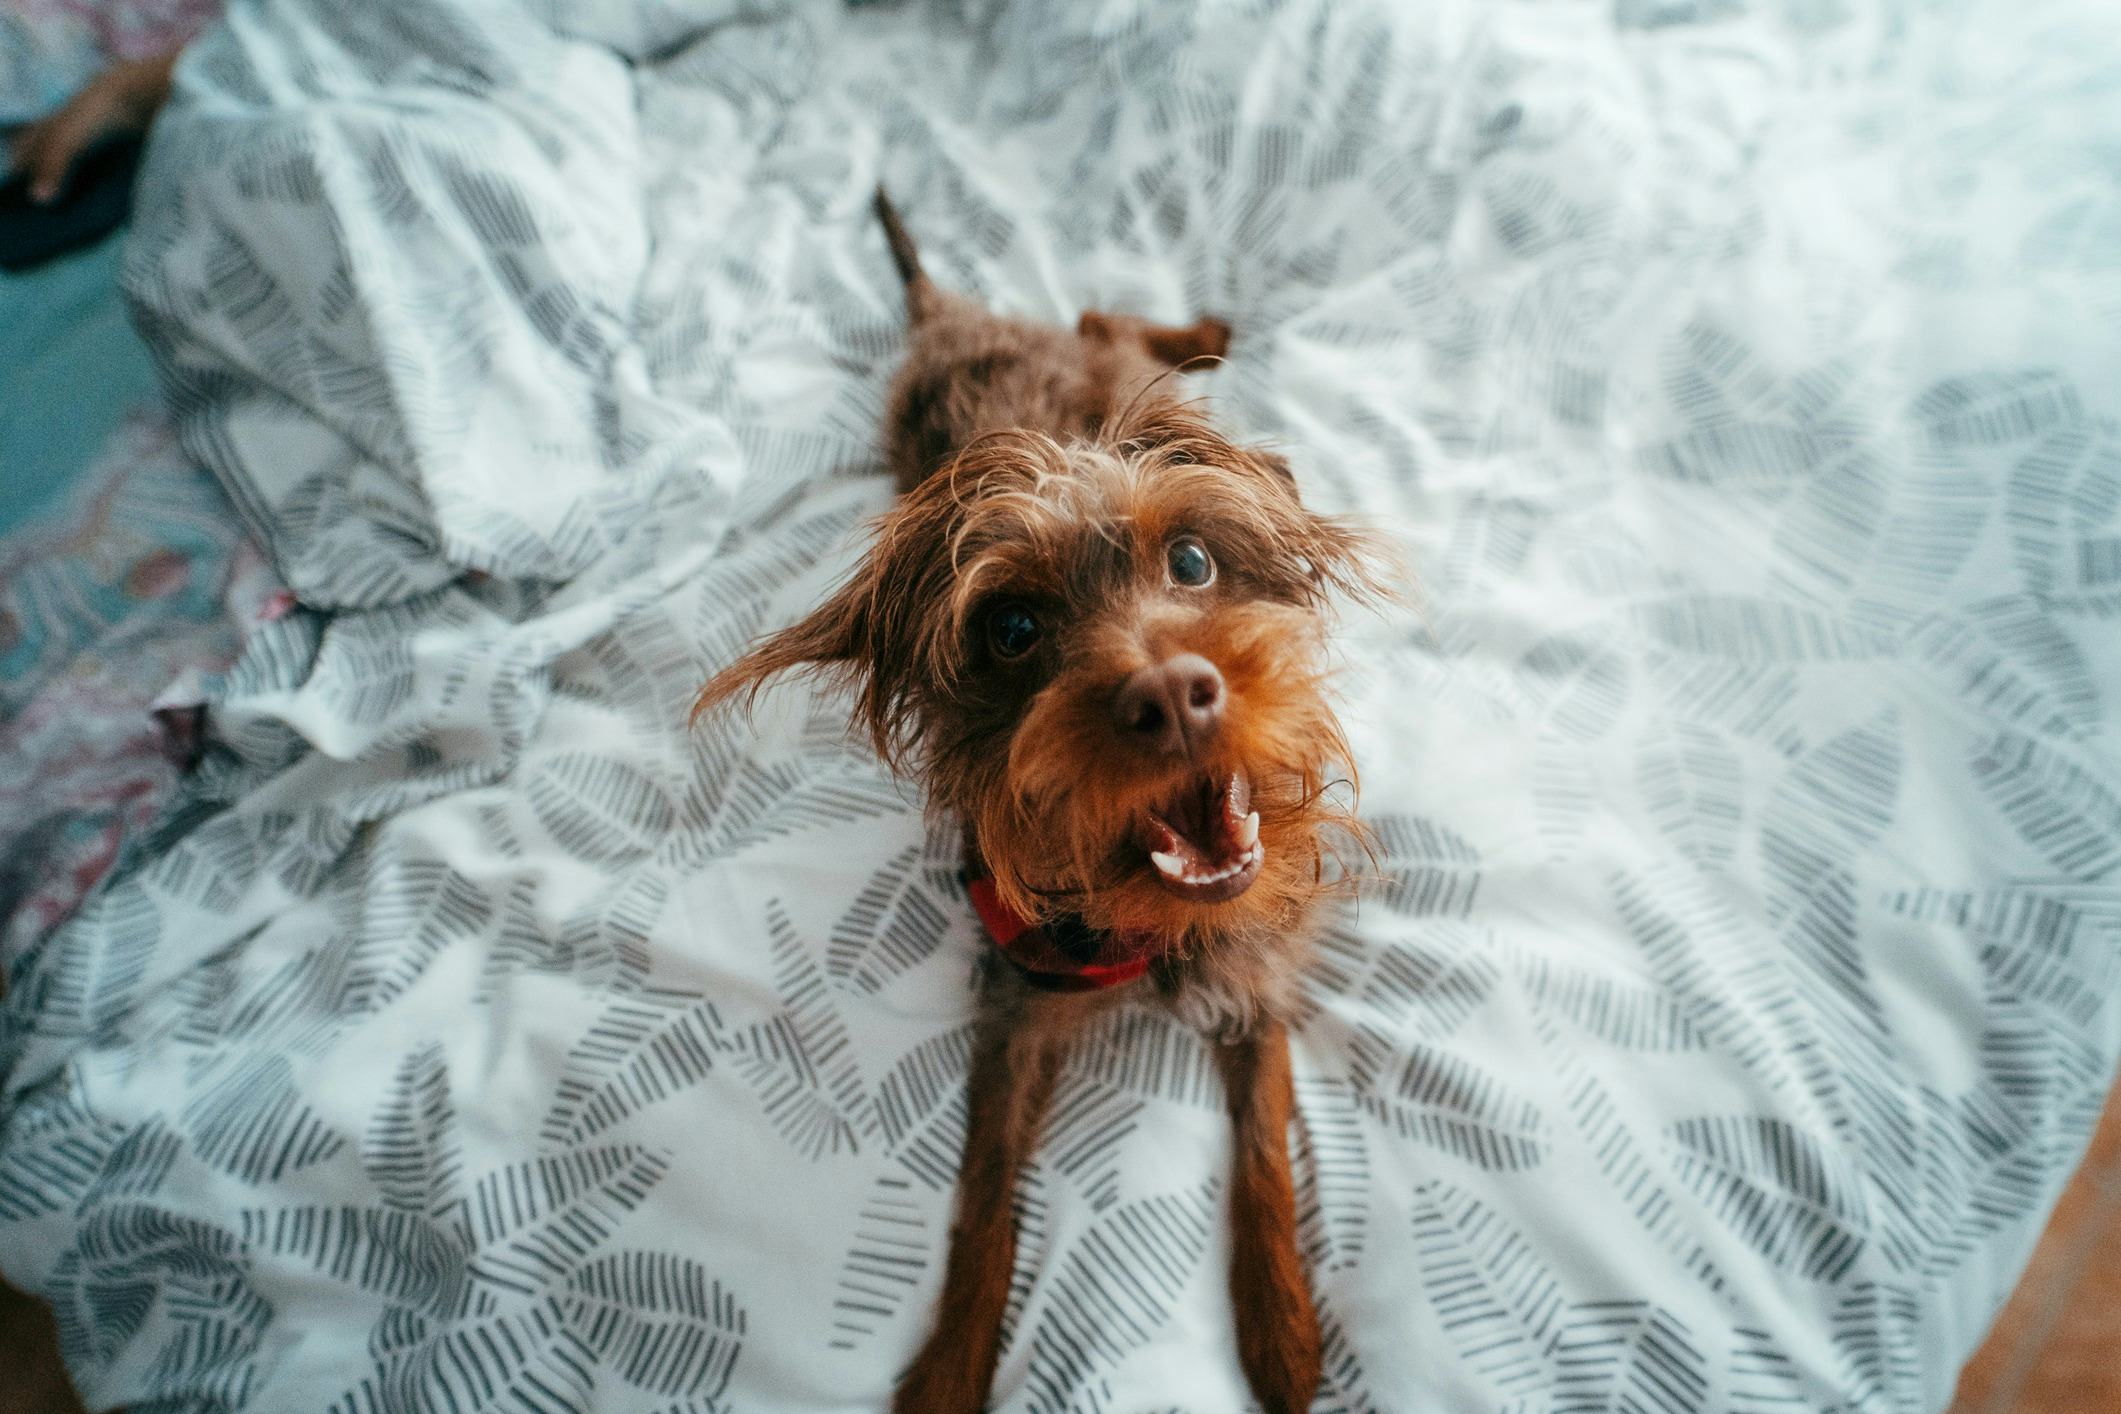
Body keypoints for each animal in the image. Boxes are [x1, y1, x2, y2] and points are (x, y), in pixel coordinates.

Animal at [695, 190, 1391, 1414]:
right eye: (1013, 631)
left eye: (1195, 562)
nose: (1172, 694)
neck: (1151, 928)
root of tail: (950, 321)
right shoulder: (1012, 1017)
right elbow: (984, 1197)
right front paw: (949, 1364)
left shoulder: (1255, 975)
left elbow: (1264, 1150)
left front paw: (1280, 1328)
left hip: (1107, 368)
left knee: (1104, 319)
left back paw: (1204, 328)